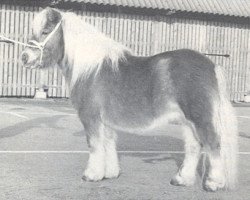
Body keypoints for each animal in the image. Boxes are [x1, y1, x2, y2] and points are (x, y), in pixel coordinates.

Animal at [21, 8, 238, 192]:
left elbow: (94, 145)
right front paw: (110, 173)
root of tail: (211, 65)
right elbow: (108, 144)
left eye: (45, 31)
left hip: (200, 118)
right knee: (194, 146)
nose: (24, 57)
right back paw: (181, 179)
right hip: (188, 122)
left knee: (213, 144)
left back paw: (213, 183)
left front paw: (91, 175)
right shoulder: (105, 122)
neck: (90, 69)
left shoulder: (90, 117)